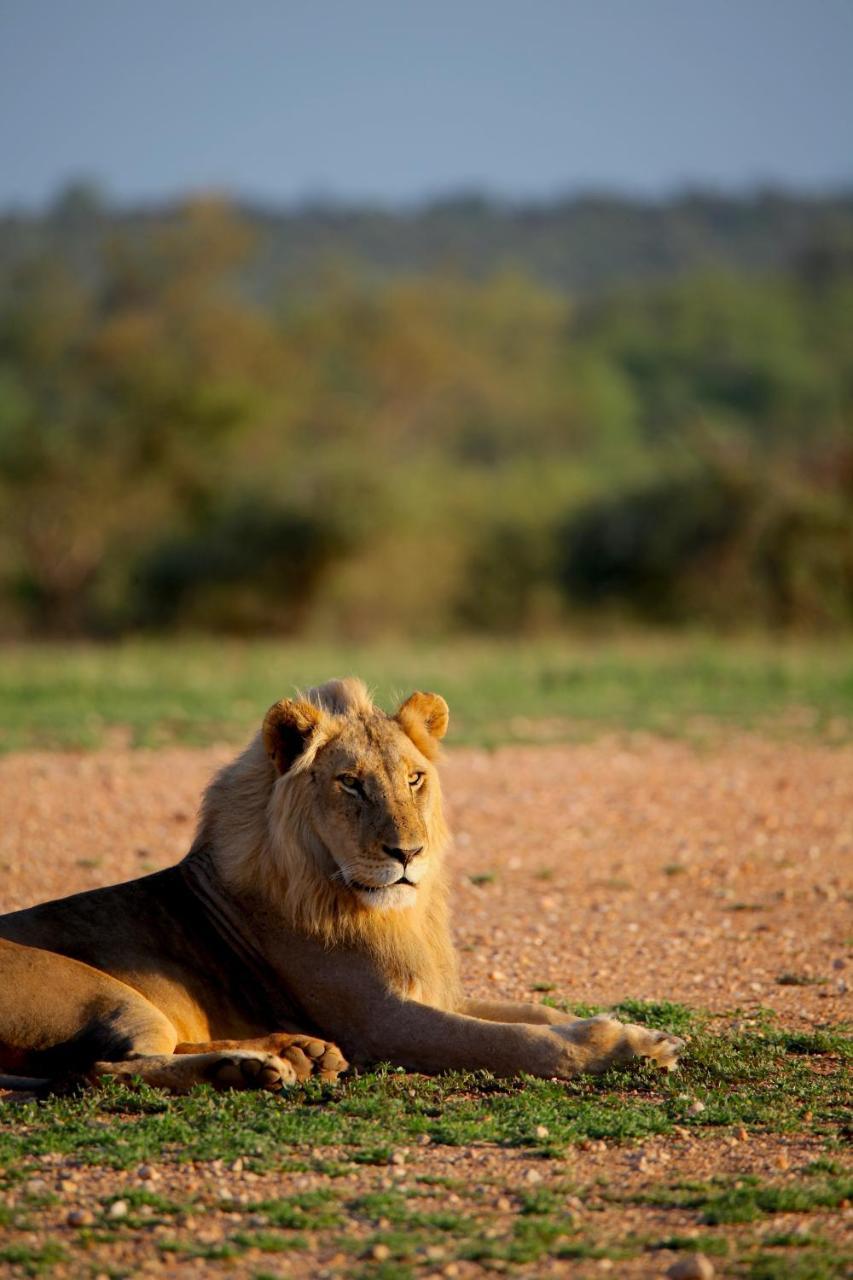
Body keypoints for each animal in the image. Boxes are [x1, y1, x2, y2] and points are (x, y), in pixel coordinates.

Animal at [0, 675, 676, 1095]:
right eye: (350, 783)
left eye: (413, 779)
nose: (408, 853)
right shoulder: (380, 1021)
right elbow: (517, 1043)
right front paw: (627, 1048)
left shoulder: (428, 990)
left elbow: (538, 1012)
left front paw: (638, 1030)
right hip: (109, 996)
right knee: (104, 1069)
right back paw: (249, 1071)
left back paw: (297, 1054)